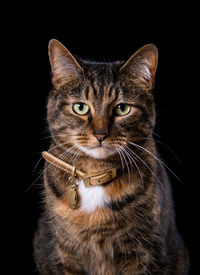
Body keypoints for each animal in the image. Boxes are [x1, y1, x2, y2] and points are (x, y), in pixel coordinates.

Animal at [33, 39, 189, 275]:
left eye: (122, 109)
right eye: (80, 107)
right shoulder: (64, 253)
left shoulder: (144, 253)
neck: (95, 174)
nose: (100, 134)